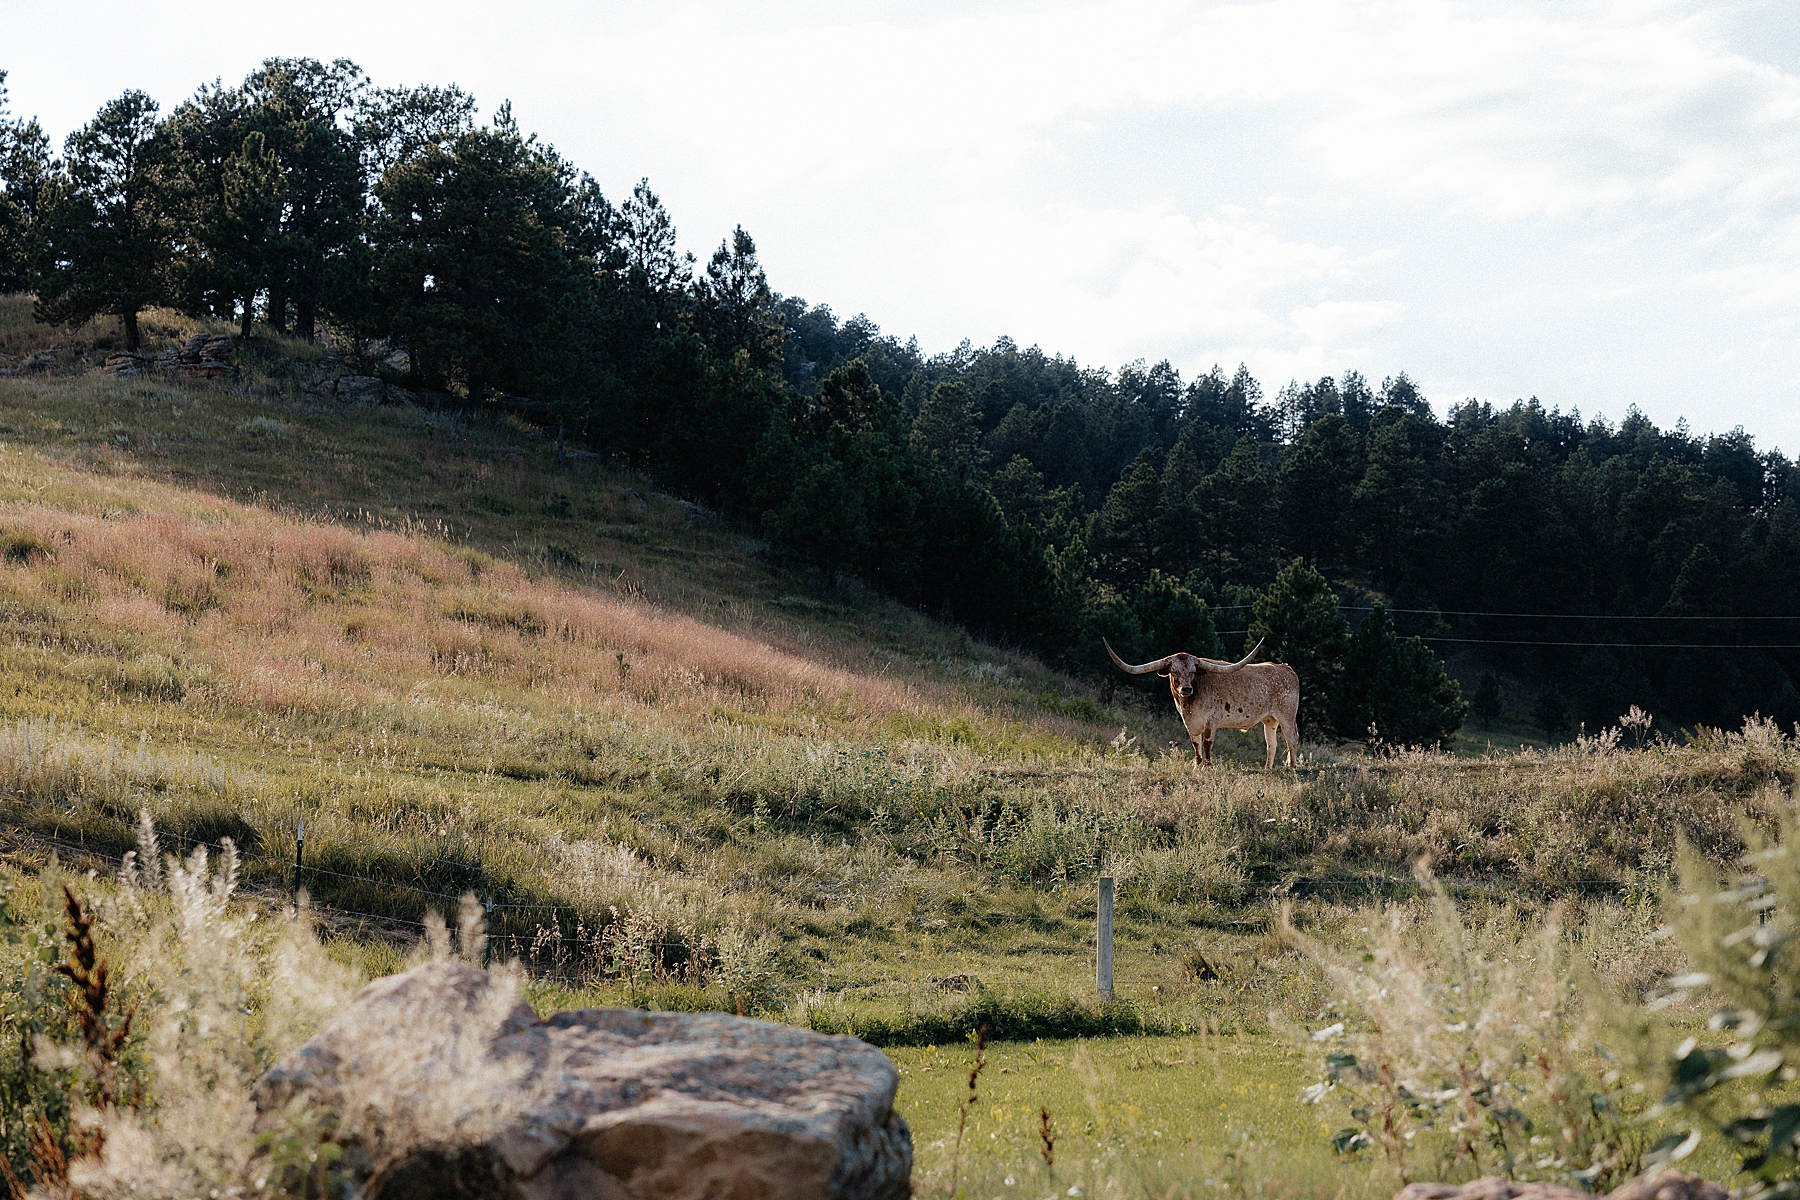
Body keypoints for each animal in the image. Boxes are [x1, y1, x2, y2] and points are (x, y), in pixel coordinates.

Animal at [1104, 637, 1300, 768]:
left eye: (1193, 671)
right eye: (1173, 671)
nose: (1186, 689)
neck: (1190, 704)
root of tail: (1285, 667)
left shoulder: (1211, 720)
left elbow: (1207, 743)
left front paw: (1207, 765)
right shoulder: (1189, 723)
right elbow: (1195, 744)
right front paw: (1197, 765)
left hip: (1287, 716)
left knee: (1292, 739)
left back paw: (1292, 768)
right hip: (1270, 720)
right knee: (1271, 744)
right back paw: (1268, 769)